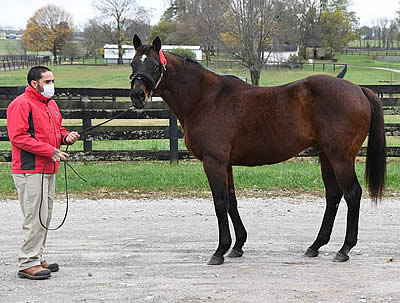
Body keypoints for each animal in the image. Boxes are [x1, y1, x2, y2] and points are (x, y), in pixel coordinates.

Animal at [130, 35, 386, 266]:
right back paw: (315, 246)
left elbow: (220, 203)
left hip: (340, 157)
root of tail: (359, 90)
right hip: (326, 156)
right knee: (333, 195)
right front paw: (237, 246)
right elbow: (231, 201)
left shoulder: (214, 162)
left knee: (352, 193)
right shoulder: (226, 164)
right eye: (133, 64)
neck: (206, 99)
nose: (137, 96)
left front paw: (220, 251)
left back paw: (344, 249)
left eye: (154, 65)